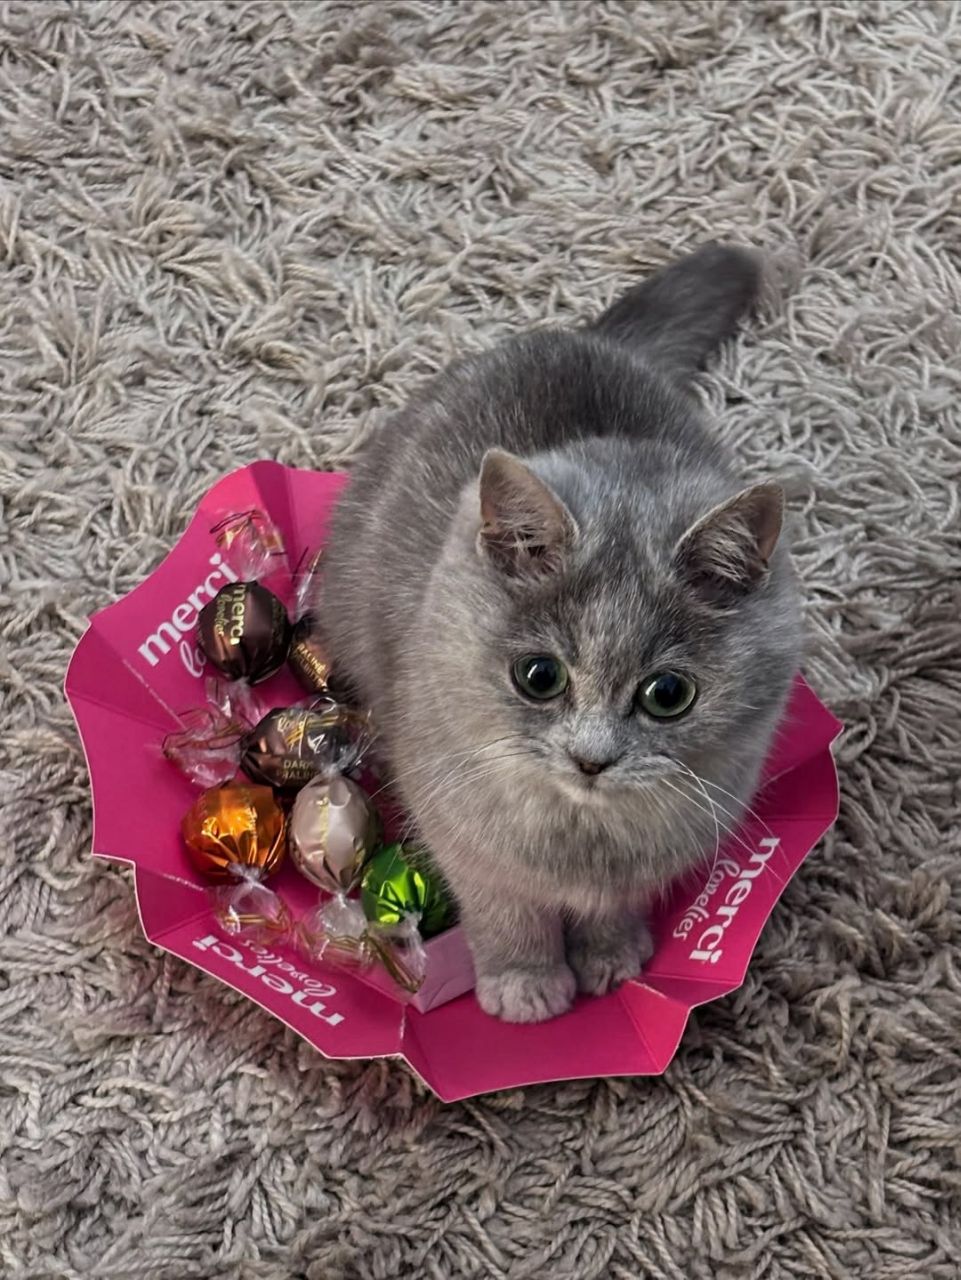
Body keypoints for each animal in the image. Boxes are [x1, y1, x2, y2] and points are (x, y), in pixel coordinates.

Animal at [316, 245, 801, 1022]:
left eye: (669, 694)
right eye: (538, 677)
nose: (591, 760)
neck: (580, 836)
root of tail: (580, 337)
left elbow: (610, 906)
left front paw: (609, 957)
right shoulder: (460, 833)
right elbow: (506, 913)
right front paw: (525, 982)